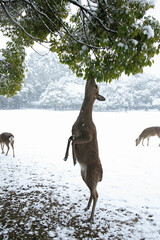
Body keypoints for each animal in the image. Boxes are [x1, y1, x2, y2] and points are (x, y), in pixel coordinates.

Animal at [63, 78, 105, 222]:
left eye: (96, 86)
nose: (92, 76)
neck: (82, 122)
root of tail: (101, 177)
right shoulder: (74, 134)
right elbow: (69, 139)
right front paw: (65, 157)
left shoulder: (88, 135)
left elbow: (73, 141)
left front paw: (74, 159)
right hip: (85, 176)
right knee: (93, 192)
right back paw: (86, 208)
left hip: (93, 175)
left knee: (96, 194)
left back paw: (91, 218)